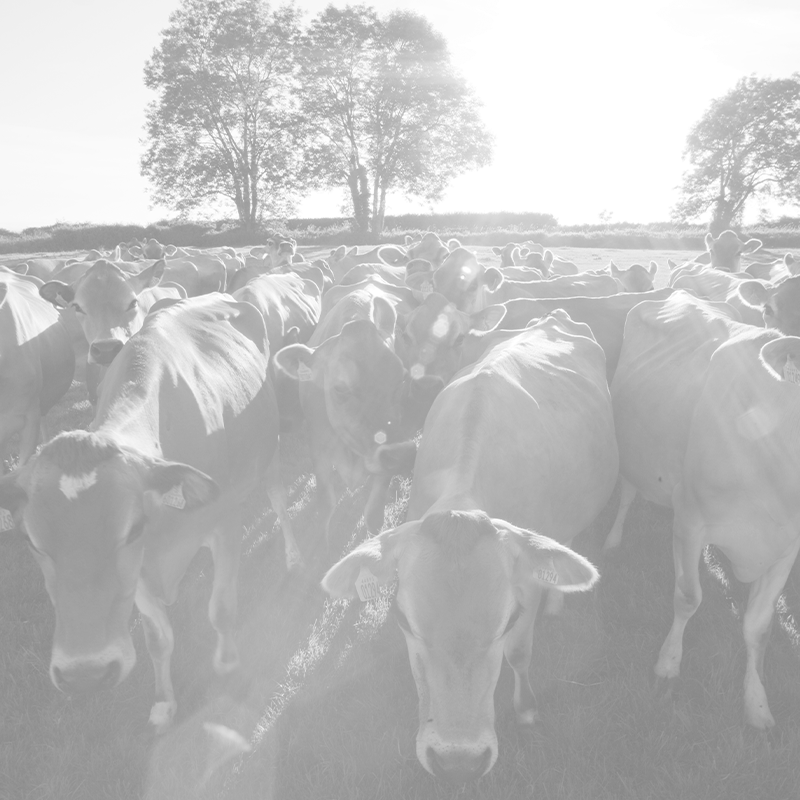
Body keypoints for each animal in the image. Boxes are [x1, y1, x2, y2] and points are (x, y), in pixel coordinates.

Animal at [0, 294, 302, 732]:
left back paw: (294, 557)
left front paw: (228, 664)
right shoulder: (137, 570)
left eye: (131, 529)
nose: (85, 674)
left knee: (278, 499)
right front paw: (163, 704)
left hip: (271, 449)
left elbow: (221, 609)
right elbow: (158, 639)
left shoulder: (225, 522)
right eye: (30, 540)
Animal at [322, 310, 616, 782]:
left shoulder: (527, 586)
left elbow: (519, 653)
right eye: (402, 620)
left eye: (509, 618)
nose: (457, 763)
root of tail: (555, 315)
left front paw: (526, 710)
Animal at [606, 289, 800, 729]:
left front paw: (756, 703)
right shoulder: (690, 517)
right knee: (627, 494)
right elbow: (688, 597)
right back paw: (613, 539)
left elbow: (758, 628)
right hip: (632, 454)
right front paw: (667, 666)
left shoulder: (786, 548)